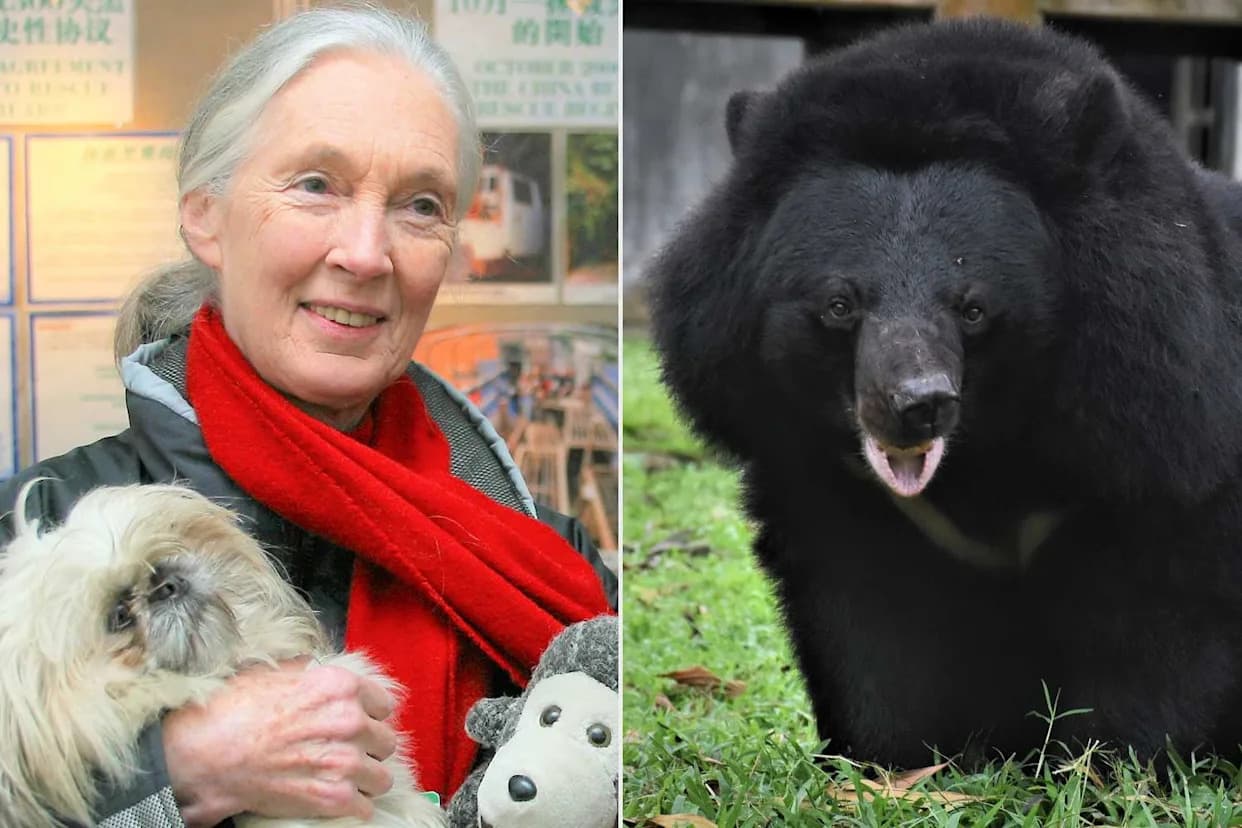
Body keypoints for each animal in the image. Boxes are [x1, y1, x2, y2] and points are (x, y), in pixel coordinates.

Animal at [645, 18, 1242, 769]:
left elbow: (1158, 618)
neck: (990, 454)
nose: (916, 404)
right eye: (840, 303)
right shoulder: (841, 491)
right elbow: (870, 622)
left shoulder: (1162, 433)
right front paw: (886, 759)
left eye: (973, 307)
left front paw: (1114, 764)